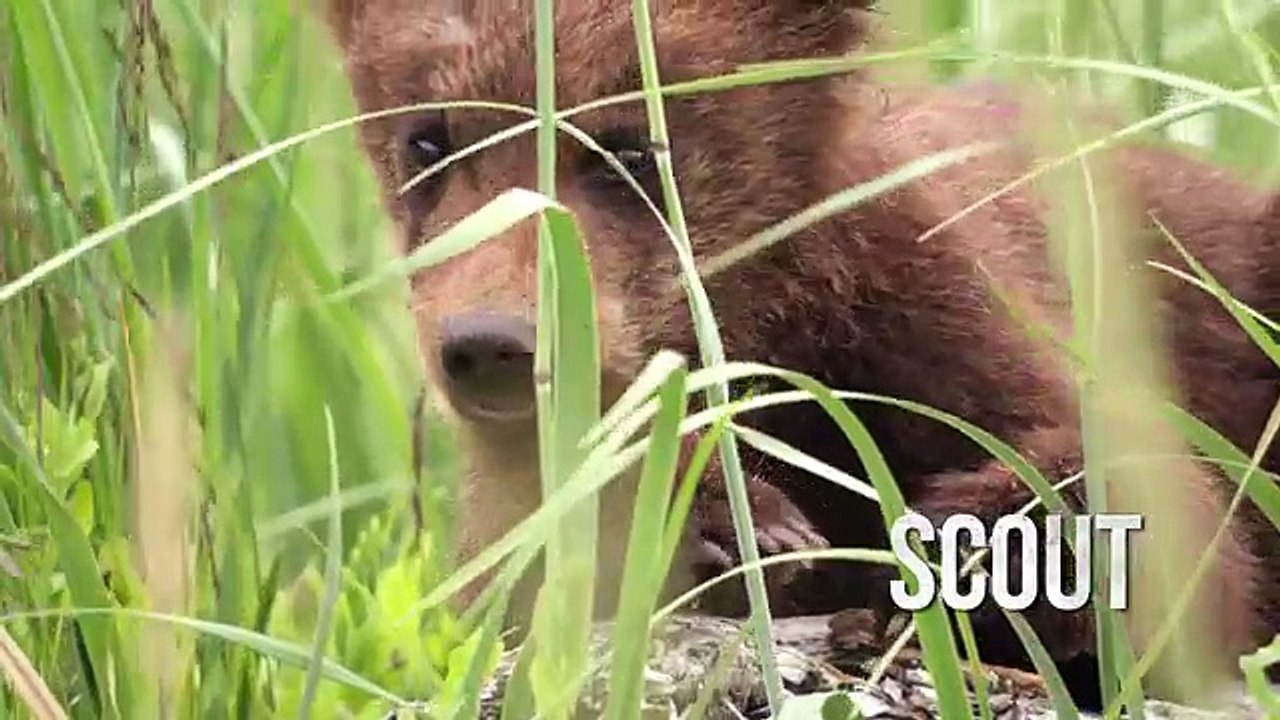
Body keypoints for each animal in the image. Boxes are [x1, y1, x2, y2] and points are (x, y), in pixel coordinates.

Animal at [323, 0, 1280, 708]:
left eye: (632, 146)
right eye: (428, 140)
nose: (491, 343)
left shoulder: (948, 310)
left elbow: (1174, 523)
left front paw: (971, 543)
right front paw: (728, 520)